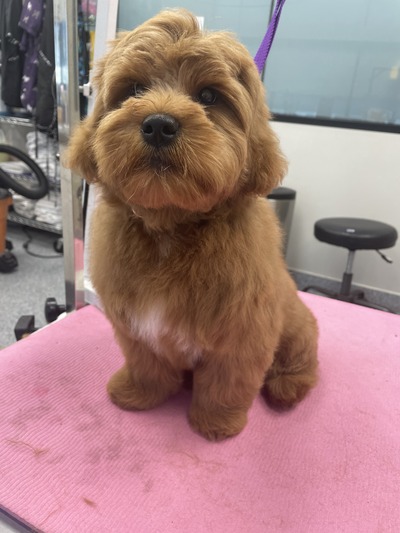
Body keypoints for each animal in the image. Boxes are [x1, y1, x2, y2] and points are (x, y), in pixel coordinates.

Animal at [69, 9, 318, 440]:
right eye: (134, 89)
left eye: (208, 96)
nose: (158, 124)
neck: (172, 228)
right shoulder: (136, 327)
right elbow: (147, 364)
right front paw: (139, 393)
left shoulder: (242, 333)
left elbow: (226, 381)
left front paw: (216, 423)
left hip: (298, 326)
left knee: (302, 363)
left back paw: (286, 387)